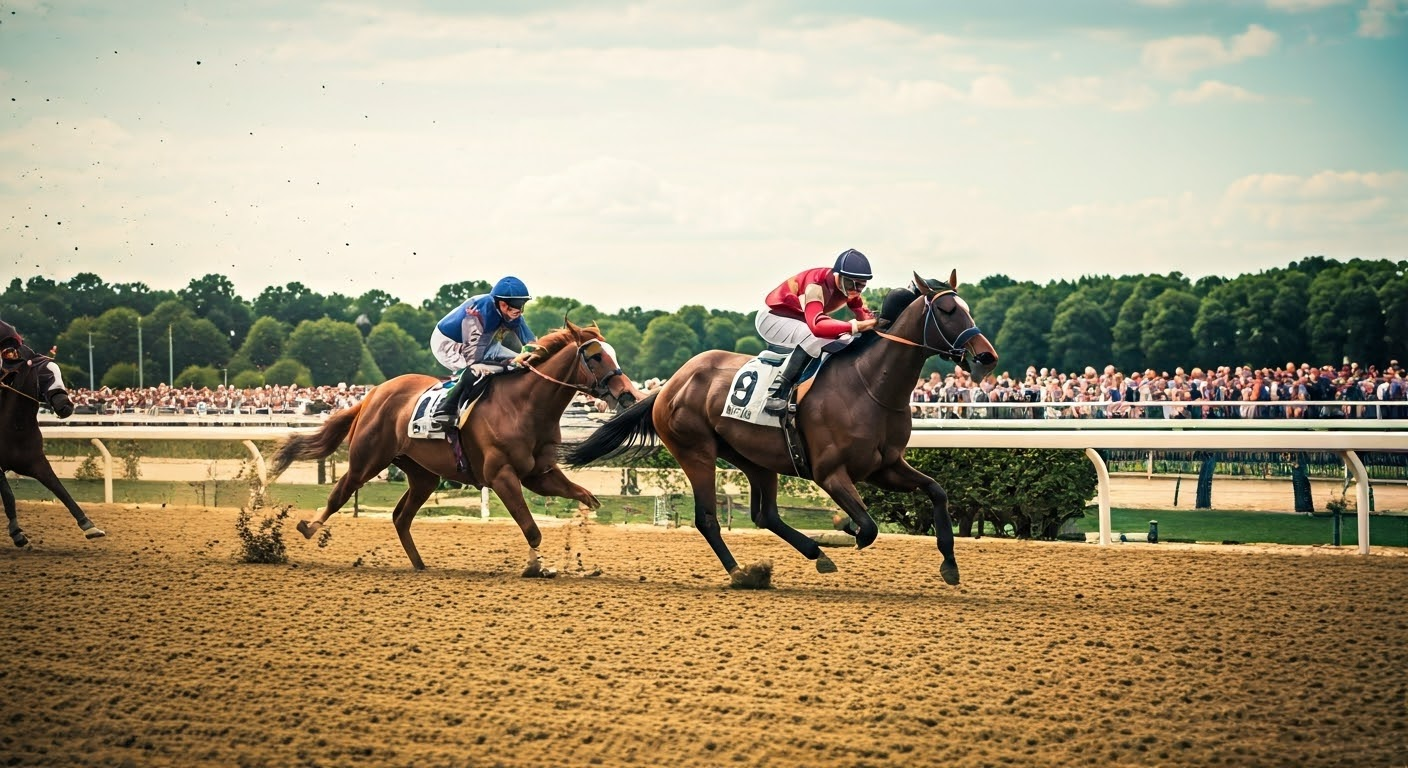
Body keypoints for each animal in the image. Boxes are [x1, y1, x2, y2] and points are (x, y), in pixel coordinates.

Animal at [267, 318, 644, 574]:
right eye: (595, 357)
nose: (629, 395)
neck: (525, 405)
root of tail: (373, 394)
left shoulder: (539, 473)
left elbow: (584, 497)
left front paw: (582, 537)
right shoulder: (501, 475)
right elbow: (531, 528)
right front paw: (536, 567)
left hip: (423, 474)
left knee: (401, 516)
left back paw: (420, 564)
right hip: (368, 458)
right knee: (340, 493)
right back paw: (308, 527)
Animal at [557, 269, 991, 586]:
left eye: (967, 309)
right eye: (948, 311)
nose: (986, 355)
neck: (870, 385)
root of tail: (669, 385)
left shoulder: (884, 466)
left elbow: (937, 492)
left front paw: (950, 564)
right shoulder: (830, 473)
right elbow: (867, 527)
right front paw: (847, 527)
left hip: (754, 458)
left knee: (765, 515)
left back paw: (814, 555)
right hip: (696, 452)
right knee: (707, 518)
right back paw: (742, 573)